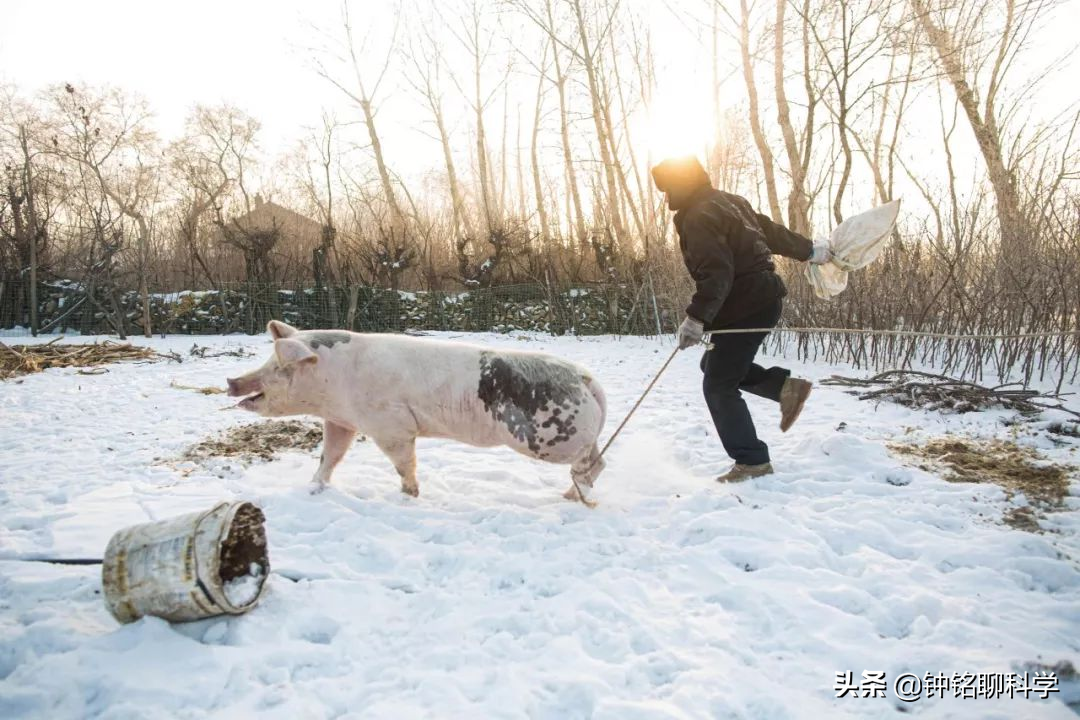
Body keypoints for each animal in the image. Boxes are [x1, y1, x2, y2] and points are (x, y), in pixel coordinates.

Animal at [225, 323, 609, 505]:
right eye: (269, 361)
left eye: (279, 366)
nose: (231, 381)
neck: (332, 382)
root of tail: (585, 378)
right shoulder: (340, 420)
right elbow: (329, 457)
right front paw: (313, 488)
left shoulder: (391, 426)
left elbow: (403, 464)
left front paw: (408, 496)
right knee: (598, 461)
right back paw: (571, 496)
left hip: (552, 436)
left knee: (590, 464)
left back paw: (574, 497)